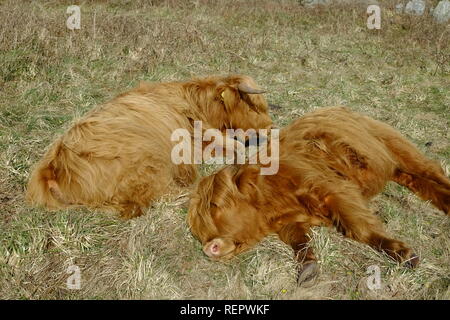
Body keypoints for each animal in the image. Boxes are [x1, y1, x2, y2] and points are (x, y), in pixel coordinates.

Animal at [188, 106, 448, 284]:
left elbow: (359, 227)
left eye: (216, 204)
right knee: (421, 183)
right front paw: (308, 268)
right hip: (395, 168)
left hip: (398, 146)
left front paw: (403, 254)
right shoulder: (292, 223)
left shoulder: (332, 189)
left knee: (432, 170)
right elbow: (298, 241)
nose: (209, 248)